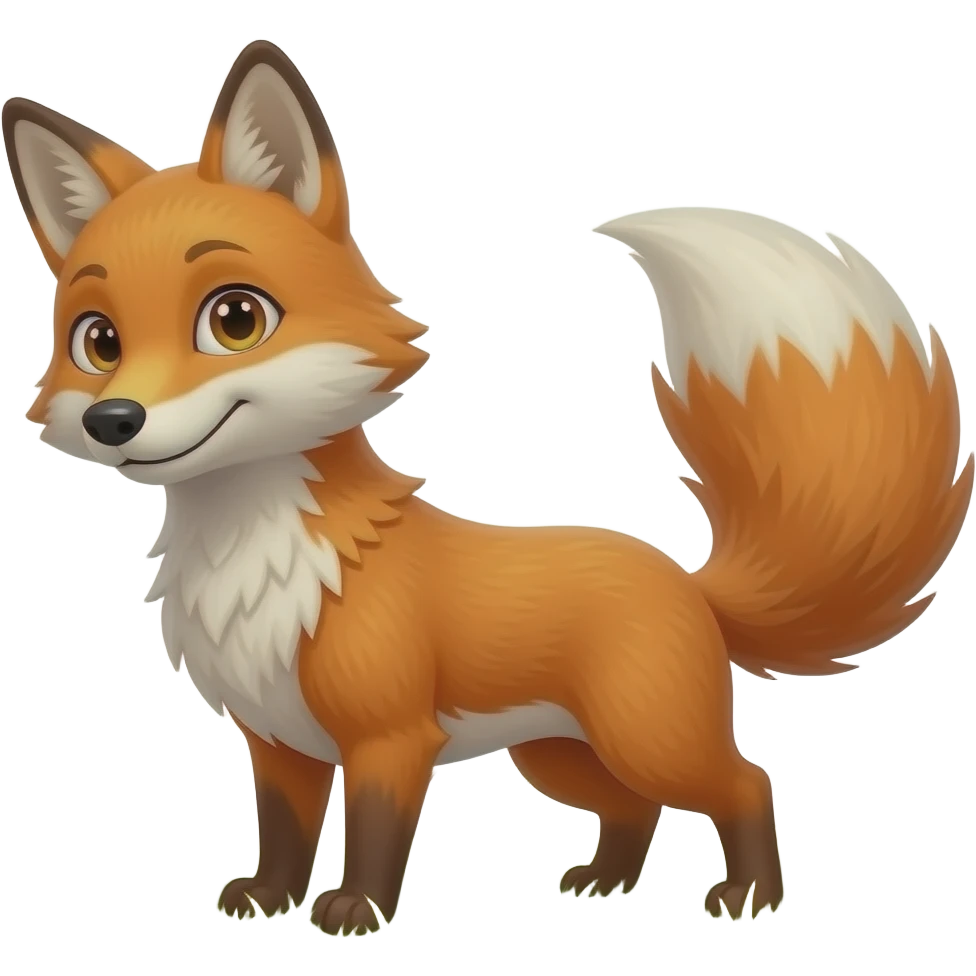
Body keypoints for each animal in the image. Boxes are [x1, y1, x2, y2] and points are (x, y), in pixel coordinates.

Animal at [4, 38, 972, 936]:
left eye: (235, 318)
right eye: (98, 341)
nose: (115, 420)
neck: (261, 555)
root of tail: (689, 582)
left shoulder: (391, 738)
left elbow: (375, 835)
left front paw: (355, 911)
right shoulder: (278, 742)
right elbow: (281, 834)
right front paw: (269, 900)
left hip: (646, 735)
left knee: (746, 782)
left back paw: (750, 897)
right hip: (561, 755)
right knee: (636, 810)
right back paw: (605, 882)